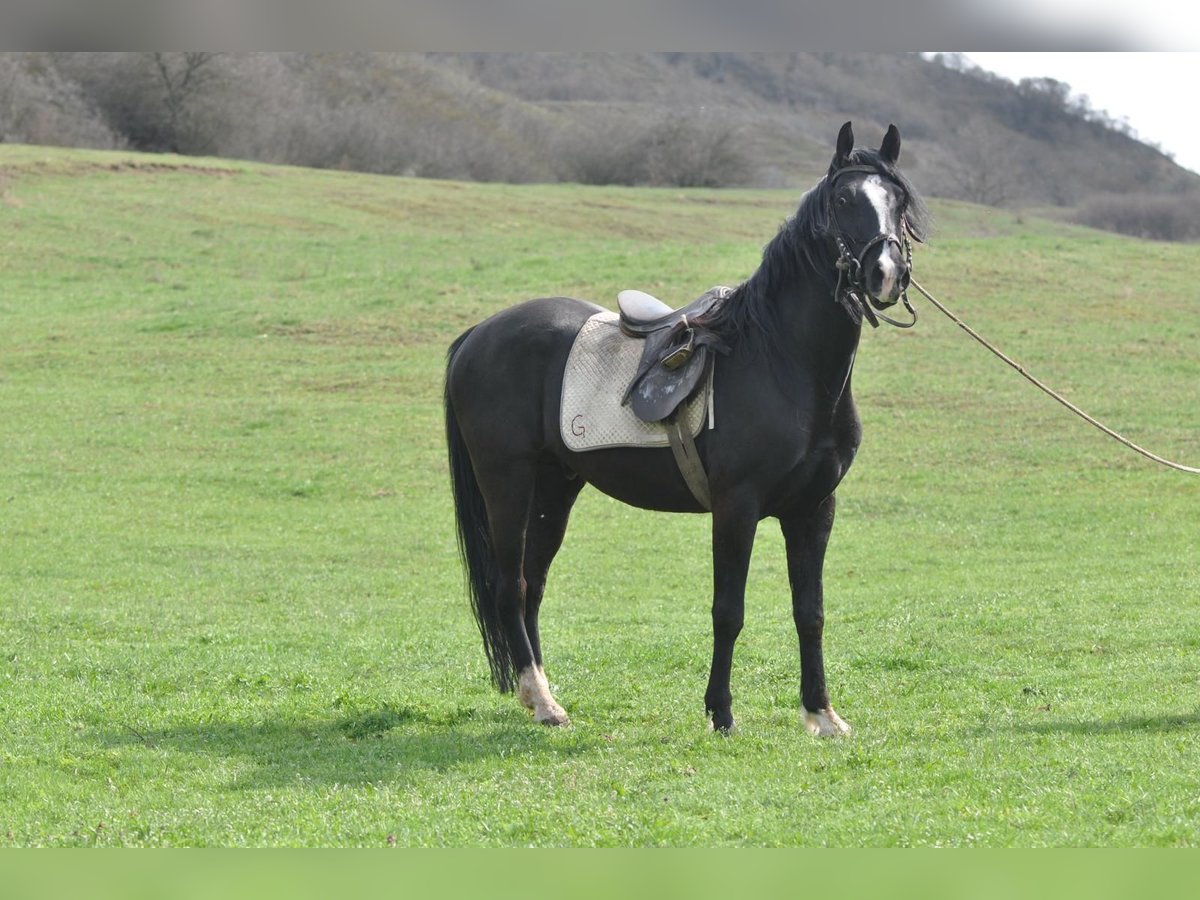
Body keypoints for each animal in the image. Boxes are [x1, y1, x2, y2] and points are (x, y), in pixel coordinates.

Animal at [441, 123, 926, 734]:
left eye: (899, 201)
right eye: (842, 201)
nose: (887, 273)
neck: (783, 361)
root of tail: (478, 335)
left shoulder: (814, 509)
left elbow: (810, 612)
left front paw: (821, 713)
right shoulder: (736, 507)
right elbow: (728, 611)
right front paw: (721, 712)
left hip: (555, 488)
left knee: (533, 587)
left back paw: (542, 697)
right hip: (506, 483)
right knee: (511, 586)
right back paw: (544, 703)